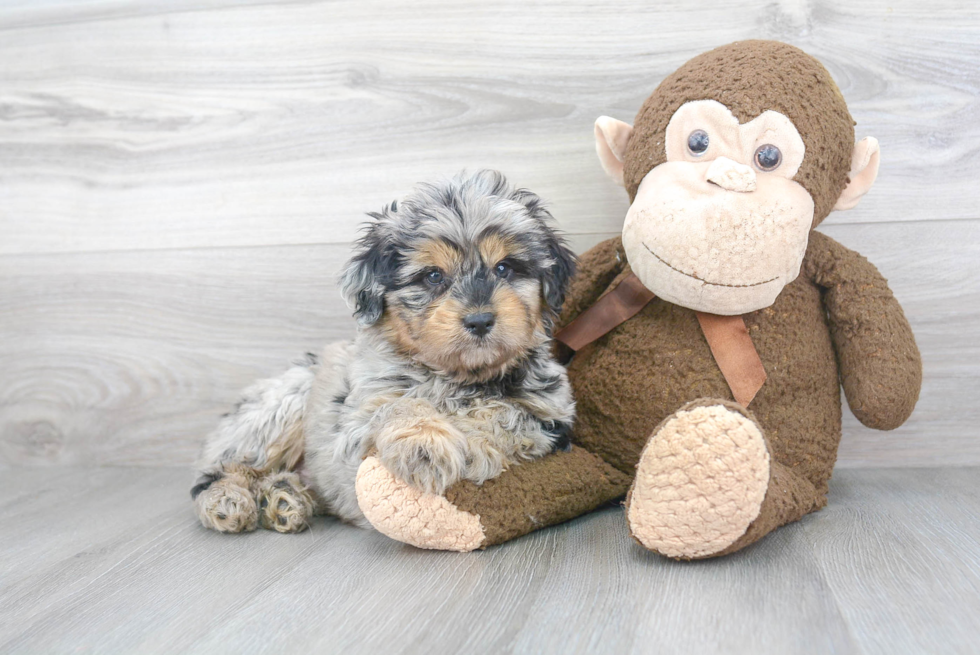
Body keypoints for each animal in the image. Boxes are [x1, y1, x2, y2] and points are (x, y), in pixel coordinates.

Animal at [188, 172, 580, 536]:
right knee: (217, 471)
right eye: (433, 276)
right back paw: (228, 501)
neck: (460, 376)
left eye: (505, 268)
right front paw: (424, 445)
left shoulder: (552, 416)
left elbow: (506, 413)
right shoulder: (354, 428)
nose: (480, 320)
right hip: (284, 402)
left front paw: (471, 443)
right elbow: (400, 405)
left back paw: (284, 498)